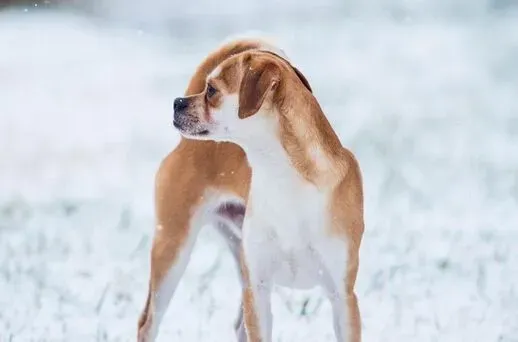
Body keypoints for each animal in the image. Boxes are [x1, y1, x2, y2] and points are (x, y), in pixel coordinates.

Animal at [171, 46, 366, 342]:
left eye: (212, 90)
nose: (176, 102)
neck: (283, 177)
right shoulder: (258, 289)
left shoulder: (342, 296)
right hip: (174, 247)